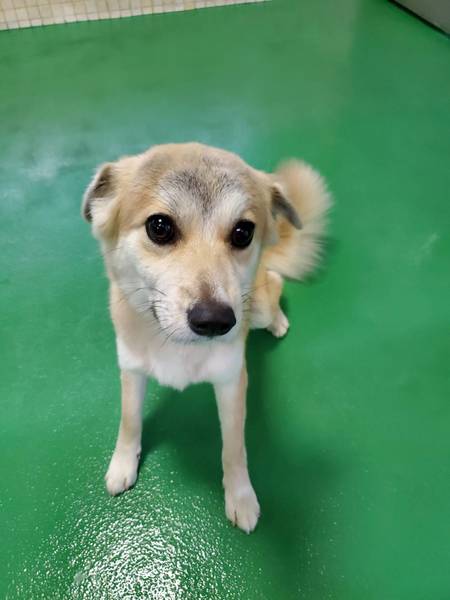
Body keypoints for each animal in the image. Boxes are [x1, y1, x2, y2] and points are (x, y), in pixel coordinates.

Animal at [82, 142, 330, 533]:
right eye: (159, 227)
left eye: (243, 232)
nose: (215, 321)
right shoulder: (131, 370)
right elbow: (129, 420)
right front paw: (123, 463)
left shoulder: (231, 382)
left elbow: (234, 448)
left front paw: (241, 497)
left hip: (258, 305)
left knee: (275, 282)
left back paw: (278, 321)